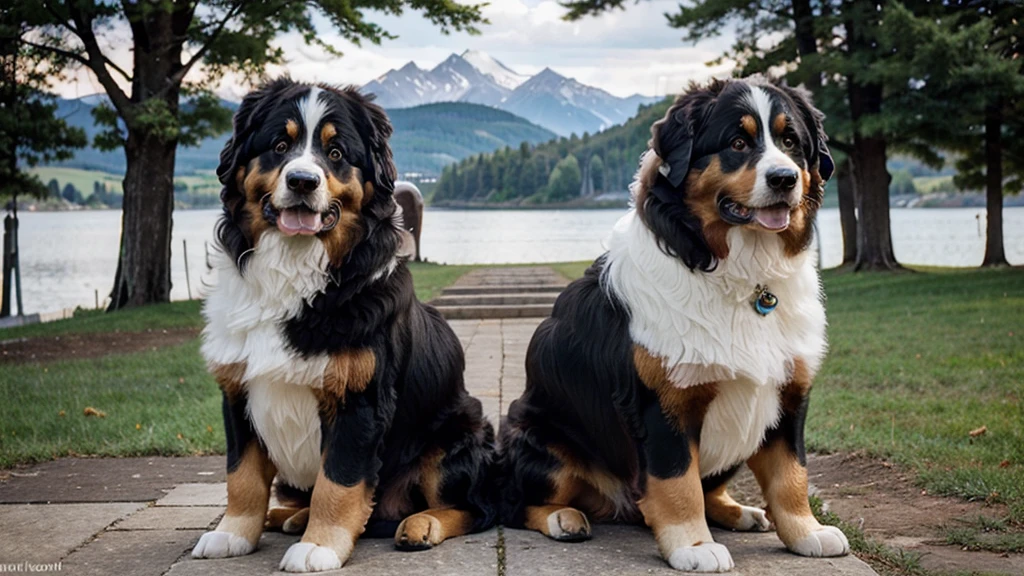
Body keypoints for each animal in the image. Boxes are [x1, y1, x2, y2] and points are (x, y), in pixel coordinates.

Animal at [193, 78, 497, 569]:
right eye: (280, 146)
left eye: (335, 153)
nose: (302, 181)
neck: (292, 274)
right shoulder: (238, 389)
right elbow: (242, 476)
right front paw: (232, 534)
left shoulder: (360, 399)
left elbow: (338, 482)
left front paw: (319, 546)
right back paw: (288, 517)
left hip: (454, 433)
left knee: (475, 507)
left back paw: (421, 525)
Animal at [501, 76, 847, 569]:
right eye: (737, 143)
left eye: (790, 142)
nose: (784, 178)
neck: (742, 277)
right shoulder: (663, 401)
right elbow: (678, 482)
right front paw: (694, 547)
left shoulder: (788, 392)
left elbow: (791, 473)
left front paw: (807, 531)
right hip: (539, 438)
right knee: (518, 502)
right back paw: (562, 518)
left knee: (714, 488)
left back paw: (738, 512)